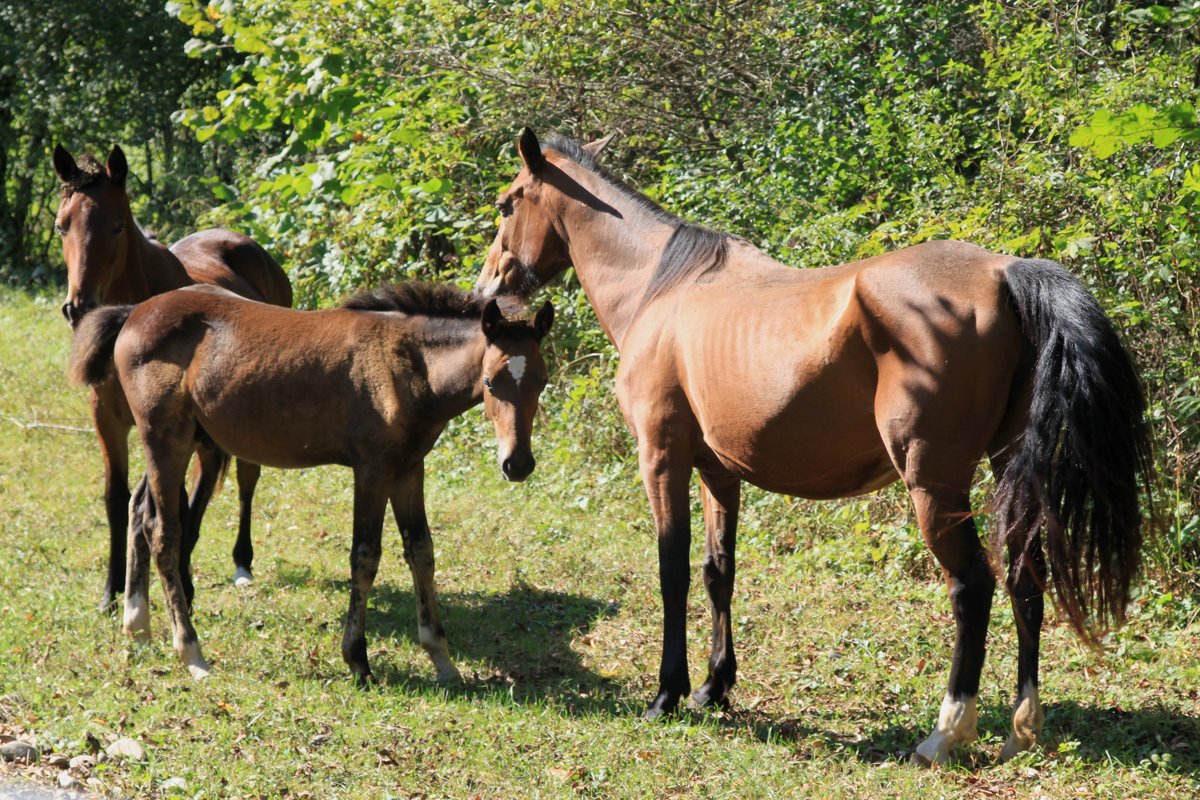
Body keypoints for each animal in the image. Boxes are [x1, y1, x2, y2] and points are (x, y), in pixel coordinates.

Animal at [51, 143, 295, 606]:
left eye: (117, 226)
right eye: (61, 227)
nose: (79, 307)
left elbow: (175, 501)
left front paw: (179, 581)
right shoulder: (107, 418)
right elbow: (117, 497)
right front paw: (112, 591)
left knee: (244, 479)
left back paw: (240, 563)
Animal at [66, 281, 552, 681]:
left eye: (543, 381)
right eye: (490, 381)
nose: (518, 464)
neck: (408, 365)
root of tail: (134, 311)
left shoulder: (409, 468)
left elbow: (421, 551)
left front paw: (442, 659)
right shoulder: (372, 469)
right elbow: (365, 556)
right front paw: (357, 659)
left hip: (178, 444)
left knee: (138, 510)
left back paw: (137, 627)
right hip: (166, 439)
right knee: (164, 531)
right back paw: (192, 654)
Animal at [470, 128, 1152, 767]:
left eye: (507, 203)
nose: (484, 293)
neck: (662, 288)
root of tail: (1003, 272)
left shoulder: (662, 458)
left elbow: (671, 570)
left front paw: (668, 694)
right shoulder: (719, 471)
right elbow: (718, 571)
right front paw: (714, 687)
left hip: (934, 483)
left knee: (973, 586)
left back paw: (946, 732)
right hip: (1009, 468)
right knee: (1024, 578)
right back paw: (1020, 731)